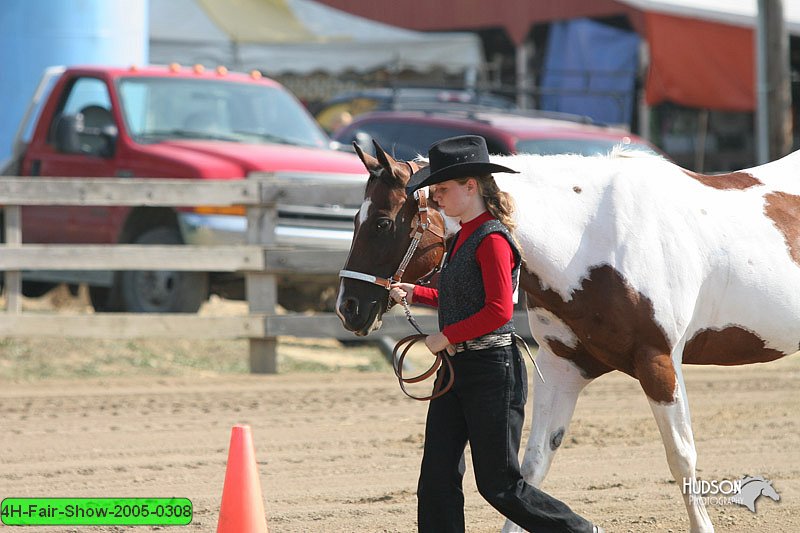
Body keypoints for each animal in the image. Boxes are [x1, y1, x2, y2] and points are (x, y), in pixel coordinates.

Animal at [336, 142, 800, 532]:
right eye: (356, 219)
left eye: (382, 223)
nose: (348, 307)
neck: (595, 240)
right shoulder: (562, 367)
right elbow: (532, 466)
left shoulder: (659, 361)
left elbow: (682, 458)